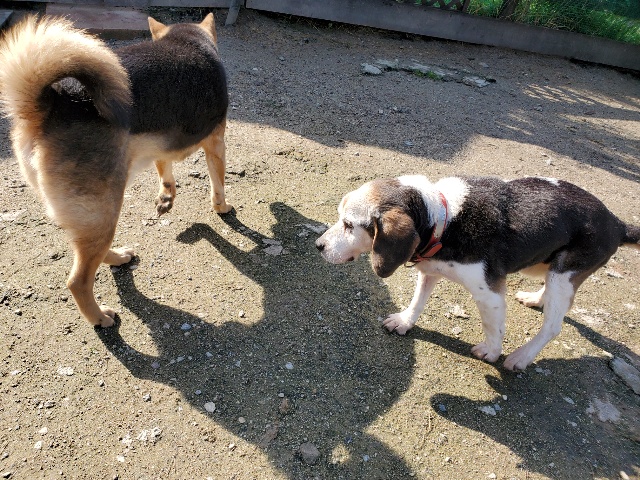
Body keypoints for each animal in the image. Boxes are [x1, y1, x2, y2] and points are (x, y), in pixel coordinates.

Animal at [0, 14, 232, 327]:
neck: (189, 40)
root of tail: (53, 104)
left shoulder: (159, 145)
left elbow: (165, 172)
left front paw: (166, 197)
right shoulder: (216, 142)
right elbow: (217, 184)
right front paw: (222, 208)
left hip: (95, 213)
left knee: (90, 253)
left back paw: (118, 257)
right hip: (103, 208)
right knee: (78, 281)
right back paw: (99, 317)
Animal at [316, 175, 640, 371]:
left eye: (349, 225)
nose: (319, 245)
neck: (443, 219)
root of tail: (616, 222)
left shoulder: (490, 295)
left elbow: (492, 328)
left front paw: (491, 353)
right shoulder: (429, 270)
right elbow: (417, 302)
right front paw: (405, 321)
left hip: (564, 272)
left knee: (552, 326)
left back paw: (521, 356)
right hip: (551, 268)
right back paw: (537, 298)